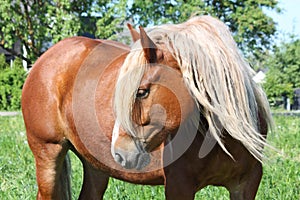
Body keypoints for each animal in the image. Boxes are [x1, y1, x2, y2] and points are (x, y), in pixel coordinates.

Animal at [21, 14, 272, 199]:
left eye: (142, 91)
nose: (119, 153)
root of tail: (44, 59)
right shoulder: (179, 185)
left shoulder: (246, 185)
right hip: (48, 154)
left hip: (96, 166)